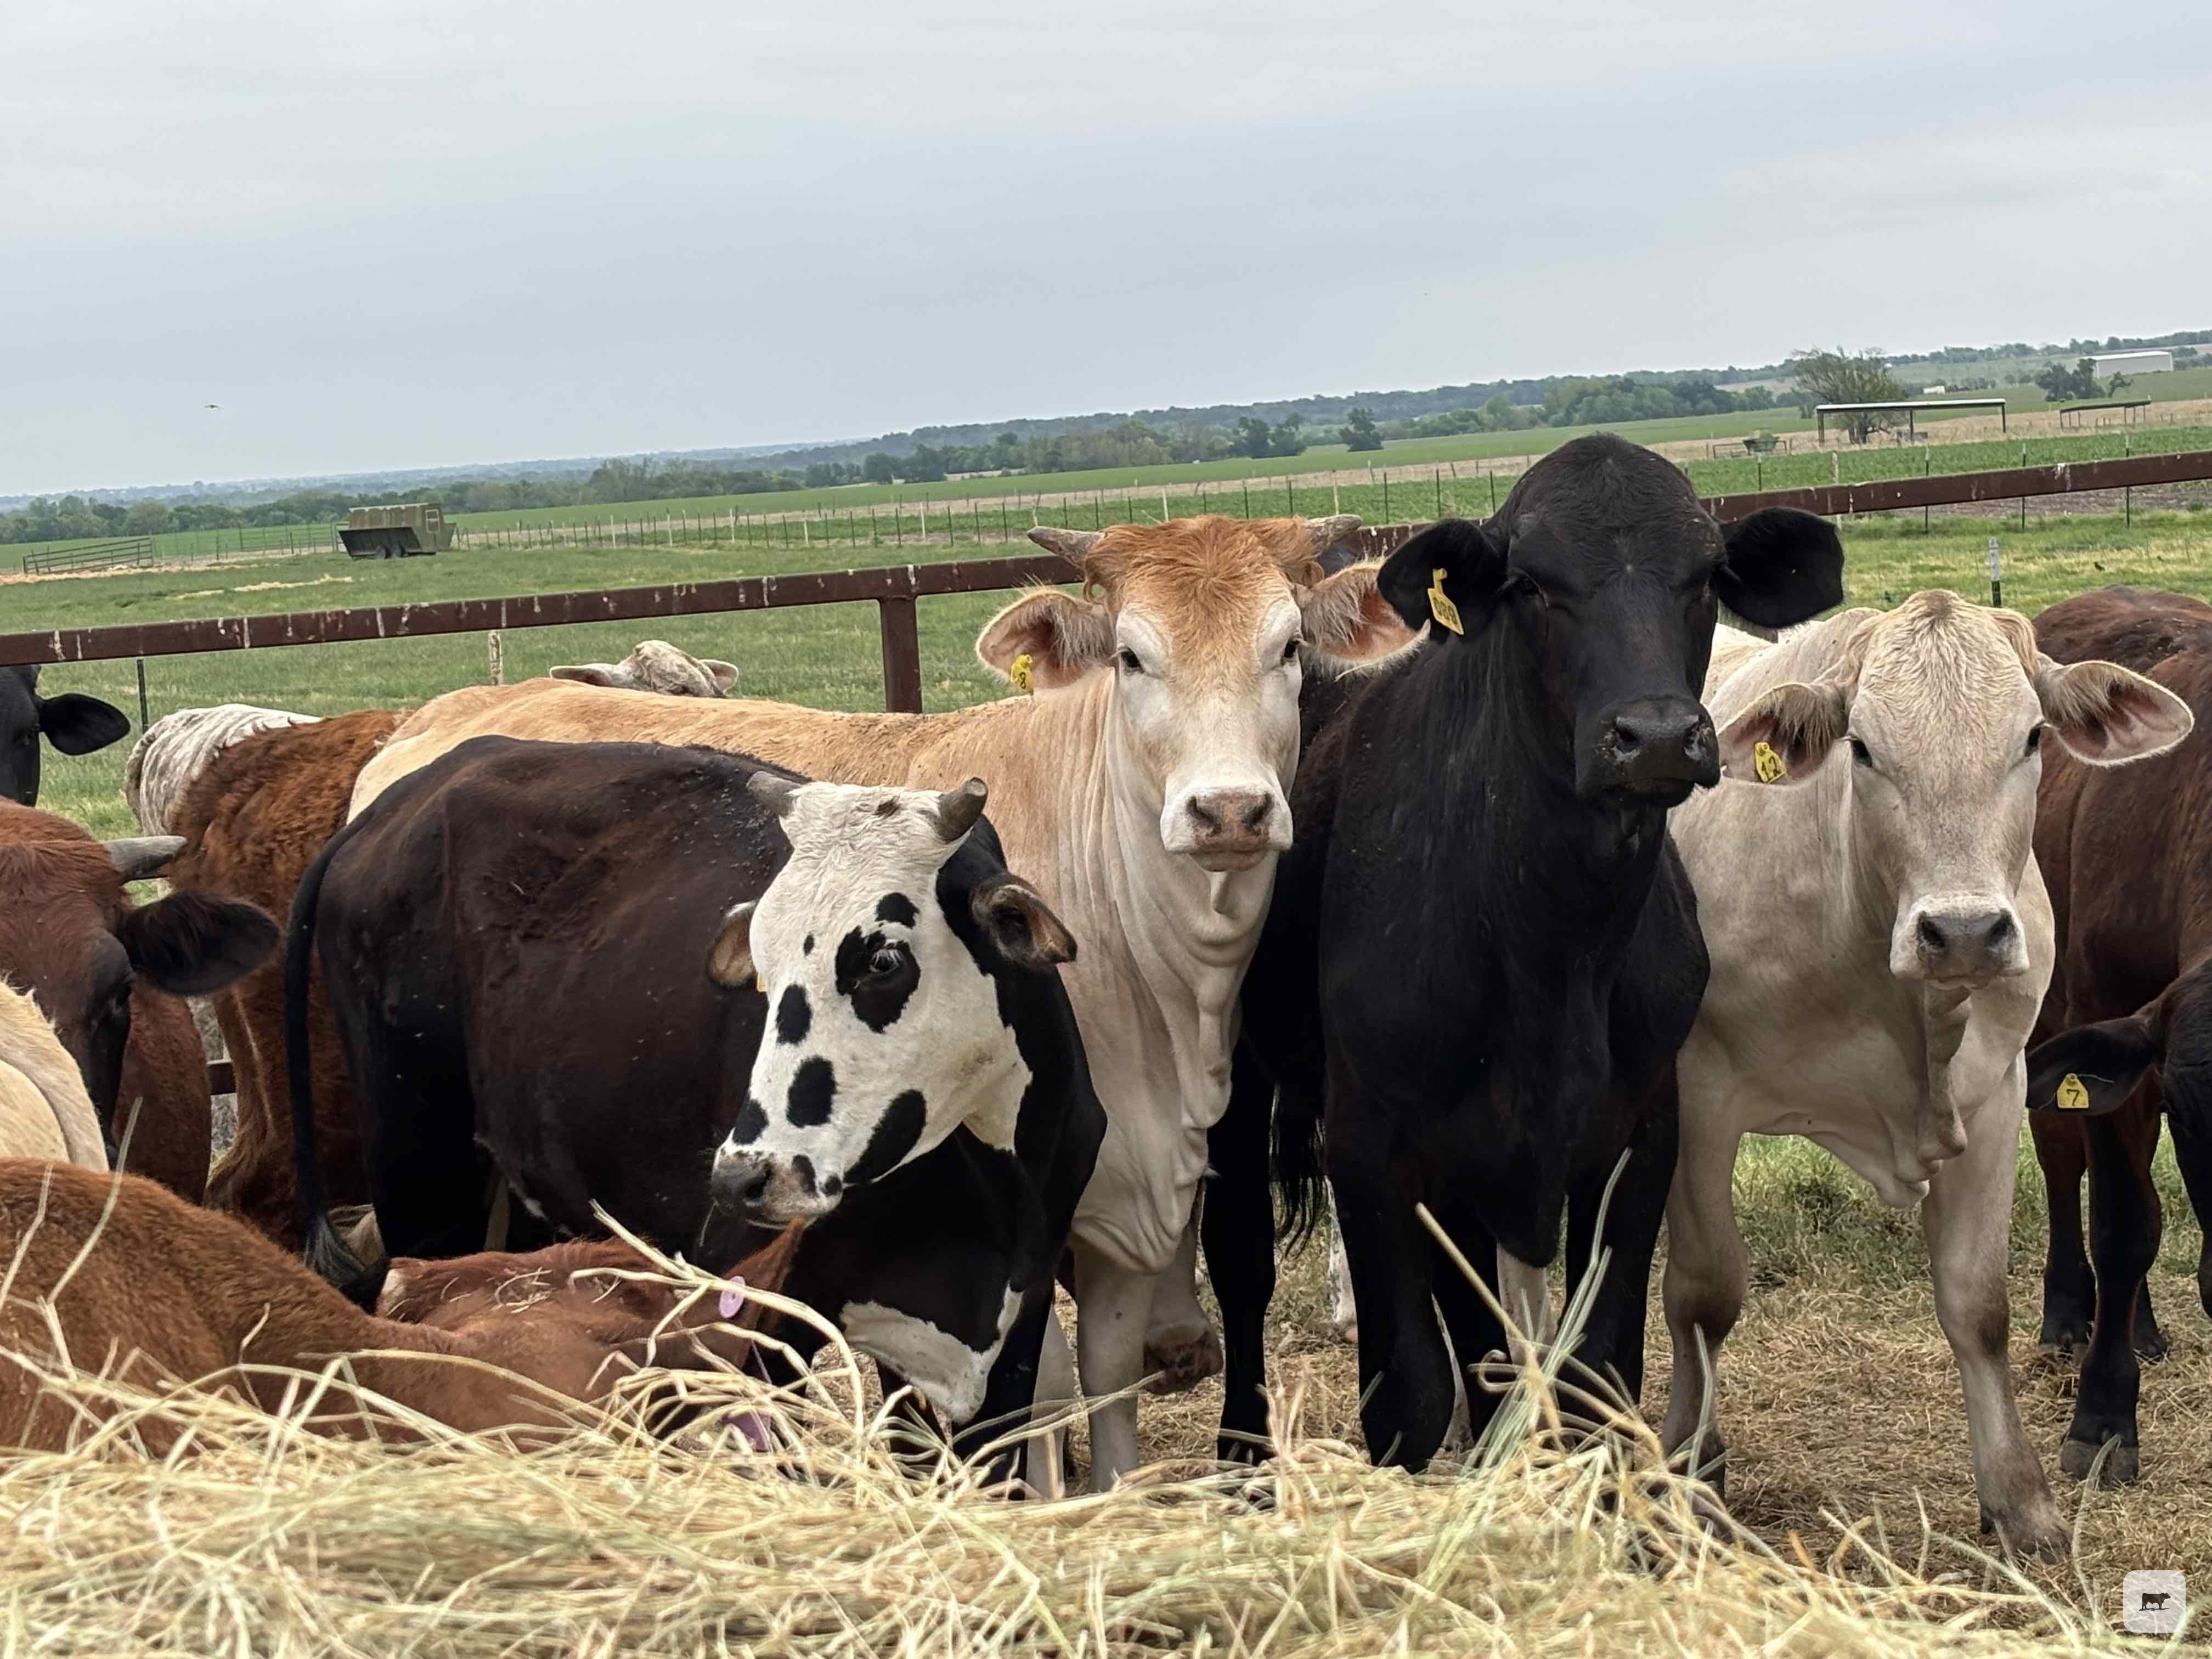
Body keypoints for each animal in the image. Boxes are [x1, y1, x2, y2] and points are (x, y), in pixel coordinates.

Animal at [290, 742, 1103, 1480]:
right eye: (763, 965)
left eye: (881, 960)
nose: (745, 1179)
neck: (990, 1194)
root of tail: (403, 801)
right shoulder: (757, 1317)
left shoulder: (1016, 1328)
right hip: (421, 1182)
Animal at [1205, 435, 1845, 1474]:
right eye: (1533, 584)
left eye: (1706, 575)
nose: (1655, 736)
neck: (1554, 946)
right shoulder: (1370, 1144)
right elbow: (1407, 1396)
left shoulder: (1636, 1133)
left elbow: (1597, 1370)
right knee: (1239, 1260)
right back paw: (1242, 1457)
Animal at [1657, 591, 2189, 1554]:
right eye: (1863, 748)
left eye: (2032, 738)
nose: (1966, 932)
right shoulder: (1699, 1093)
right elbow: (1705, 1295)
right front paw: (1691, 1470)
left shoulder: (1997, 1094)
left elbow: (1979, 1308)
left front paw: (2019, 1503)